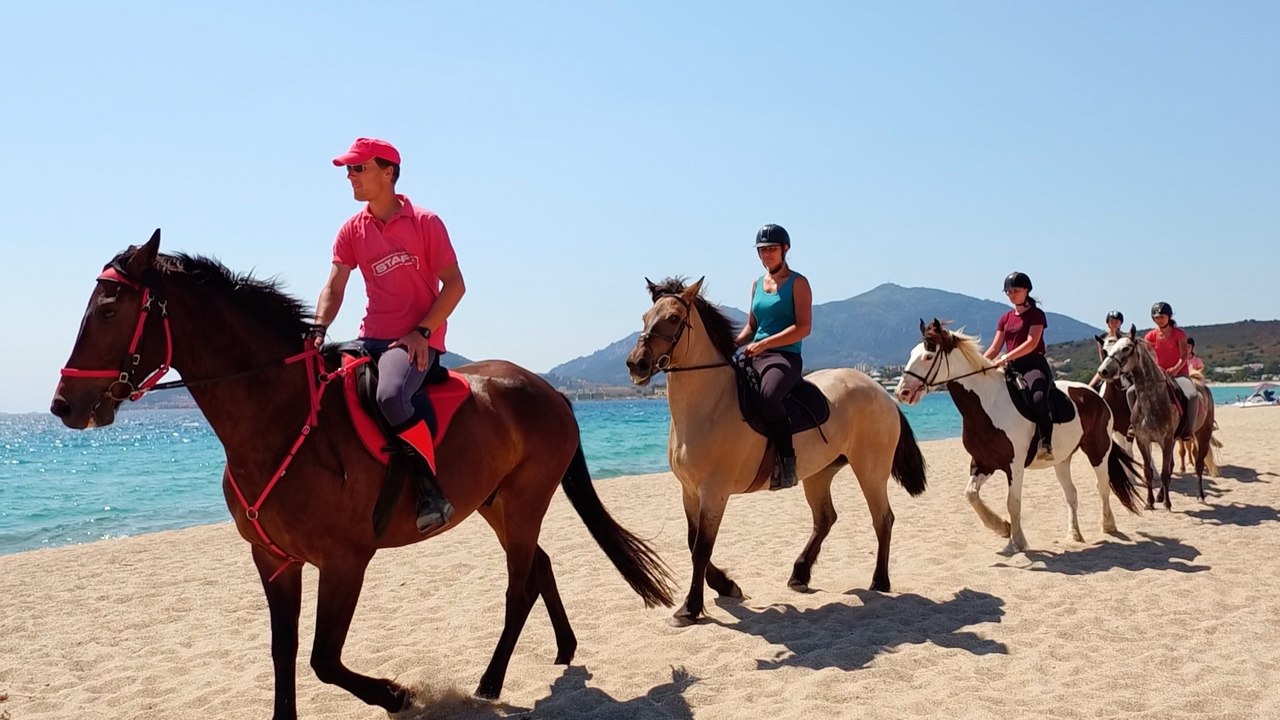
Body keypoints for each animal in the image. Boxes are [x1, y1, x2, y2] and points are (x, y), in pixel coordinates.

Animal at [50, 231, 675, 719]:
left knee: (518, 587)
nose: (62, 405)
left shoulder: (345, 561)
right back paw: (564, 648)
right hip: (496, 504)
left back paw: (491, 681)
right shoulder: (273, 560)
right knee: (539, 566)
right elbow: (284, 653)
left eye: (109, 311)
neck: (281, 420)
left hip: (524, 502)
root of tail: (548, 390)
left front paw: (397, 695)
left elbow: (323, 659)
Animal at [624, 277, 928, 627]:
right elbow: (692, 542)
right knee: (825, 518)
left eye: (673, 318)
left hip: (870, 470)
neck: (710, 404)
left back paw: (879, 580)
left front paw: (690, 607)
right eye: (646, 316)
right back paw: (800, 574)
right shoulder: (689, 490)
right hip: (819, 473)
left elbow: (702, 547)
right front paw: (726, 585)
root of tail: (882, 392)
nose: (636, 363)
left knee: (882, 519)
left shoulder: (714, 491)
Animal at [896, 320, 1142, 555]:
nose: (902, 392)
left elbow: (1013, 503)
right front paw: (1002, 528)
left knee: (1103, 486)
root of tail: (1096, 395)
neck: (988, 403)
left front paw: (1016, 542)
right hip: (1061, 460)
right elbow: (971, 495)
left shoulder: (1014, 465)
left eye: (928, 356)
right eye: (911, 353)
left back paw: (1108, 525)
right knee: (1071, 494)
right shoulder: (983, 462)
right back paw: (1074, 534)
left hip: (1098, 451)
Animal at [1095, 327, 1218, 508]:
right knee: (1172, 464)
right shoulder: (1143, 440)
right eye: (1105, 351)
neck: (1151, 399)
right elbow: (1149, 471)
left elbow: (1165, 472)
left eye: (1126, 348)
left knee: (1199, 464)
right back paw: (1160, 495)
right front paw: (1150, 502)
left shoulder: (1165, 440)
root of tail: (1203, 387)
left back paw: (1200, 495)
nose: (1103, 371)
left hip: (1202, 435)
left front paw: (1167, 503)